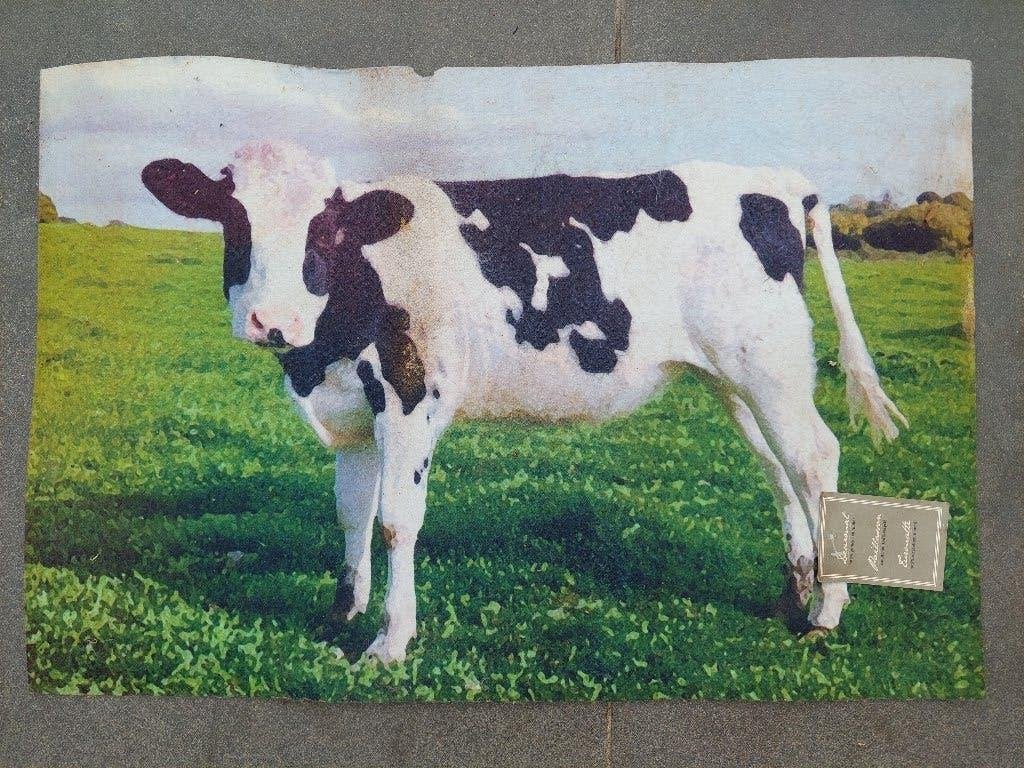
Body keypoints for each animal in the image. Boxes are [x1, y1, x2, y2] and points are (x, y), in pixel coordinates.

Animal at [142, 140, 906, 663]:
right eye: (232, 220)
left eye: (324, 229)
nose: (272, 321)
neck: (319, 351)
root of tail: (778, 183)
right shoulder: (350, 411)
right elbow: (351, 515)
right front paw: (343, 613)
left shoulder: (411, 394)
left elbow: (395, 522)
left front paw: (390, 641)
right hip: (736, 378)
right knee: (779, 469)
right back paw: (794, 590)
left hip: (770, 367)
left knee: (814, 458)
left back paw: (826, 609)